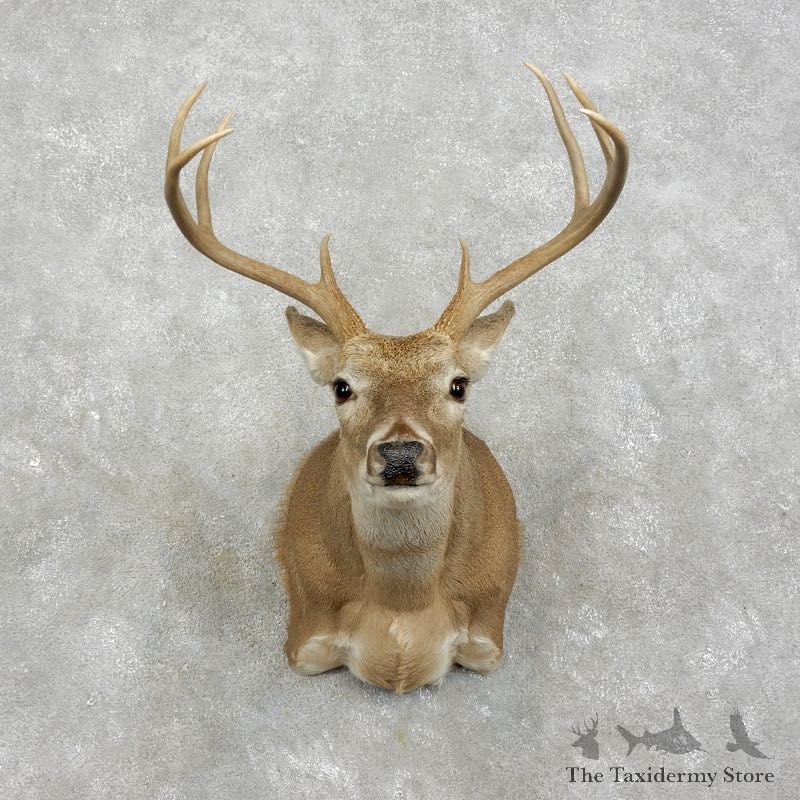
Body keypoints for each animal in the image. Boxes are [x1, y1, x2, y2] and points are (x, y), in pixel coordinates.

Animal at [164, 63, 628, 693]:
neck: (402, 619)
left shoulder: (488, 637)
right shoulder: (304, 635)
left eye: (458, 384)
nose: (402, 453)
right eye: (342, 386)